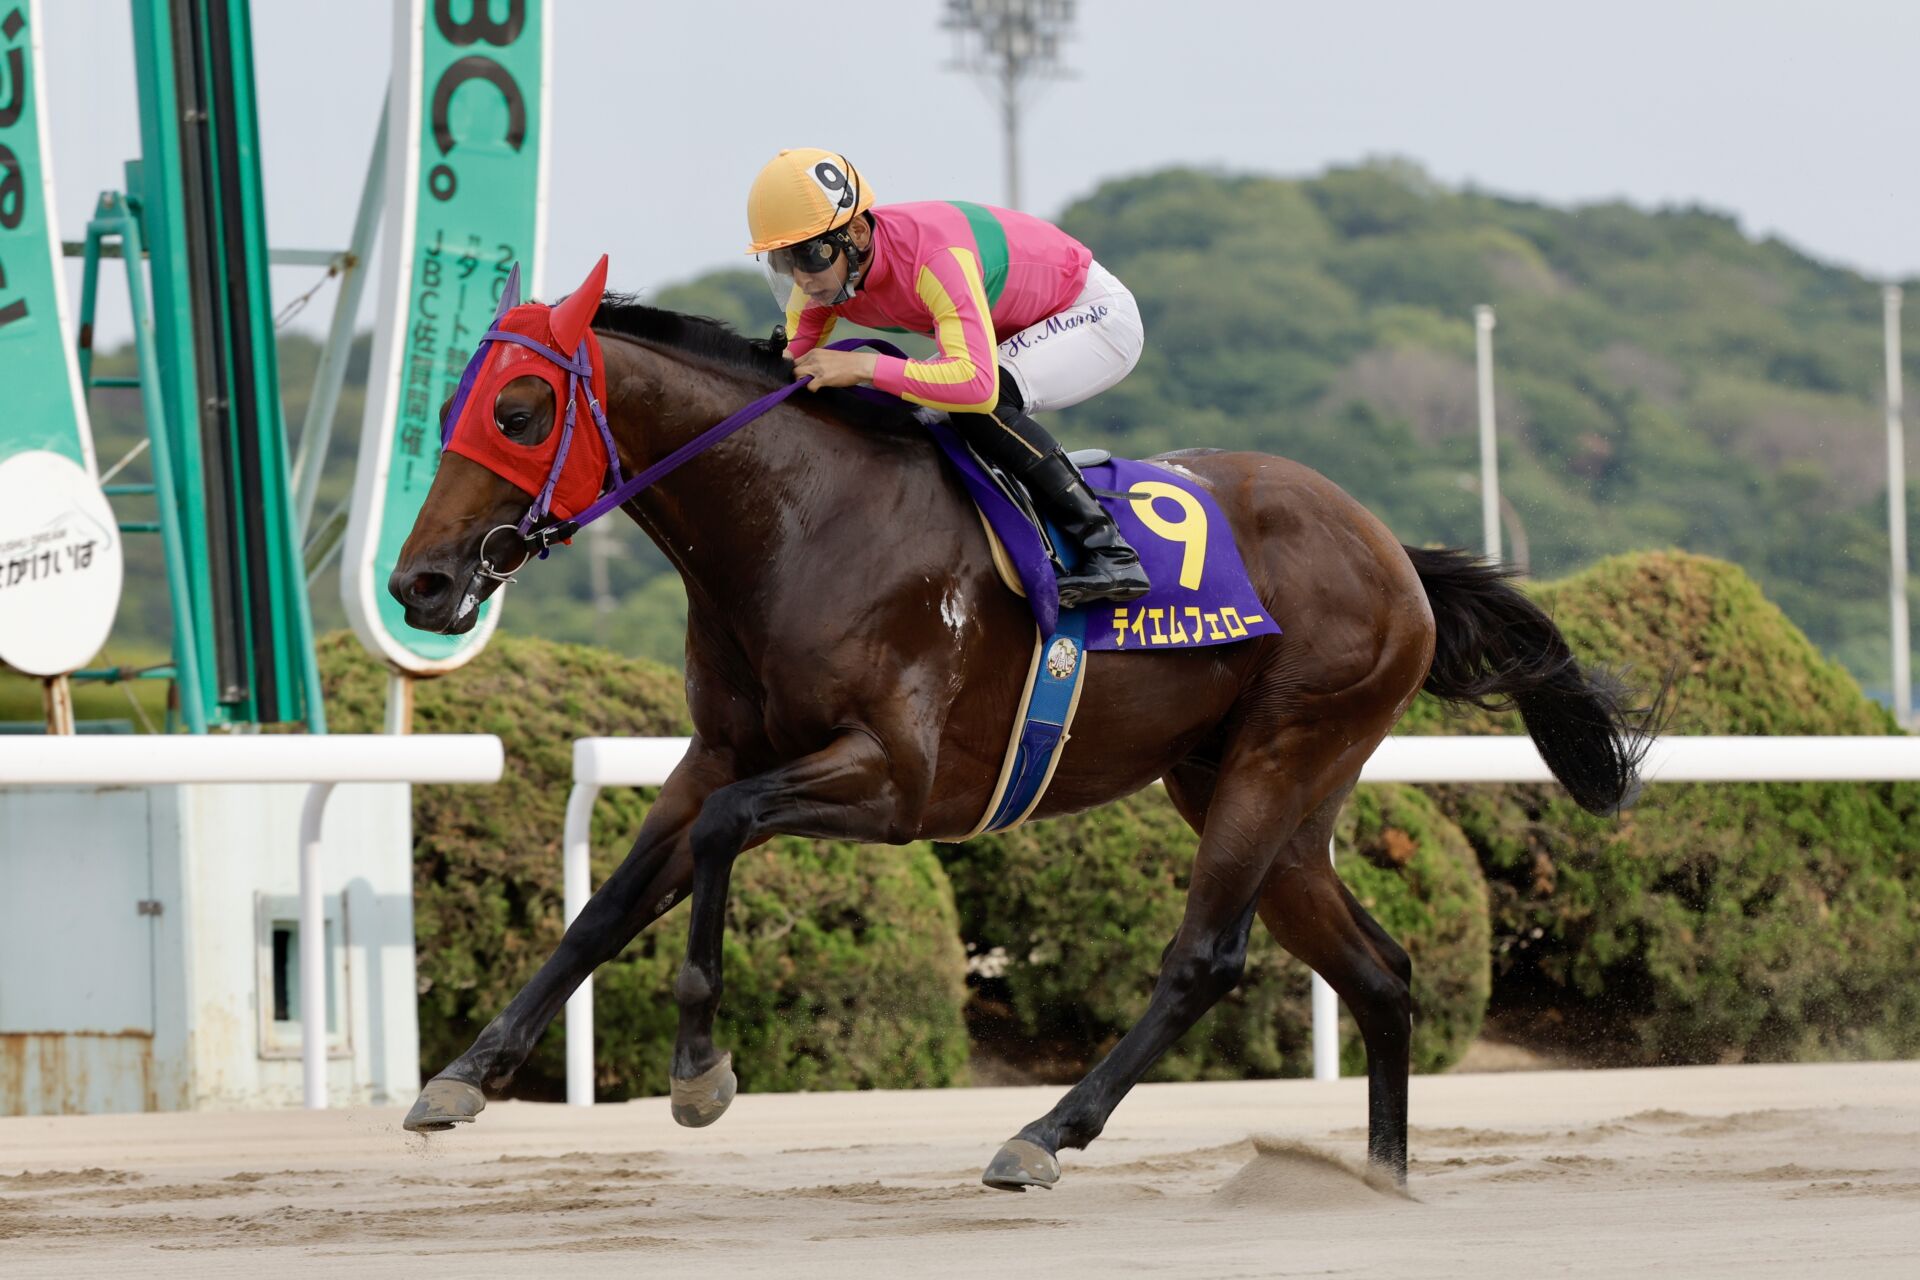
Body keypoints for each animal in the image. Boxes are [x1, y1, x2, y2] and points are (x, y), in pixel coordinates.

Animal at [389, 264, 1651, 1197]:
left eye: (517, 412)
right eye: (447, 408)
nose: (420, 583)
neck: (798, 520)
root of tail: (1393, 549)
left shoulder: (896, 782)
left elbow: (720, 838)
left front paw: (700, 1068)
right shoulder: (719, 753)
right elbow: (607, 904)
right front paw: (463, 1075)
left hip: (1285, 747)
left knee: (1206, 956)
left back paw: (1044, 1134)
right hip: (1254, 785)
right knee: (1380, 971)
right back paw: (1380, 1183)